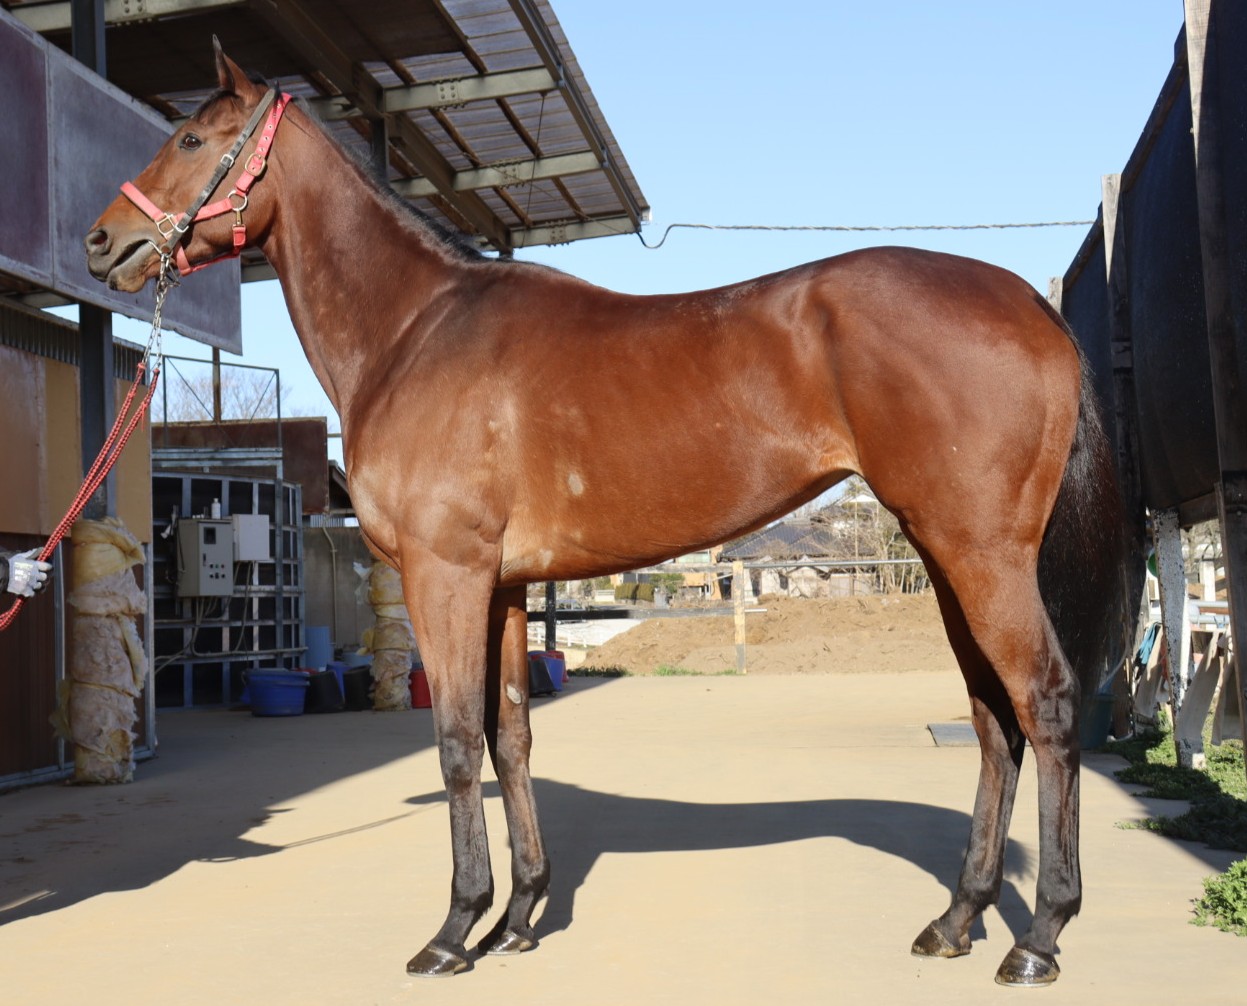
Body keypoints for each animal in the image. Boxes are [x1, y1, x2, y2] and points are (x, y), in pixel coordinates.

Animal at [84, 42, 1127, 987]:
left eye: (188, 137)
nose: (101, 242)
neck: (417, 330)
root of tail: (1028, 305)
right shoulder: (502, 586)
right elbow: (509, 736)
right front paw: (517, 918)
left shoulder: (444, 574)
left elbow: (455, 739)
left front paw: (453, 931)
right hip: (946, 558)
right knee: (991, 721)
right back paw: (956, 920)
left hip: (981, 555)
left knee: (1043, 704)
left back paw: (1038, 939)